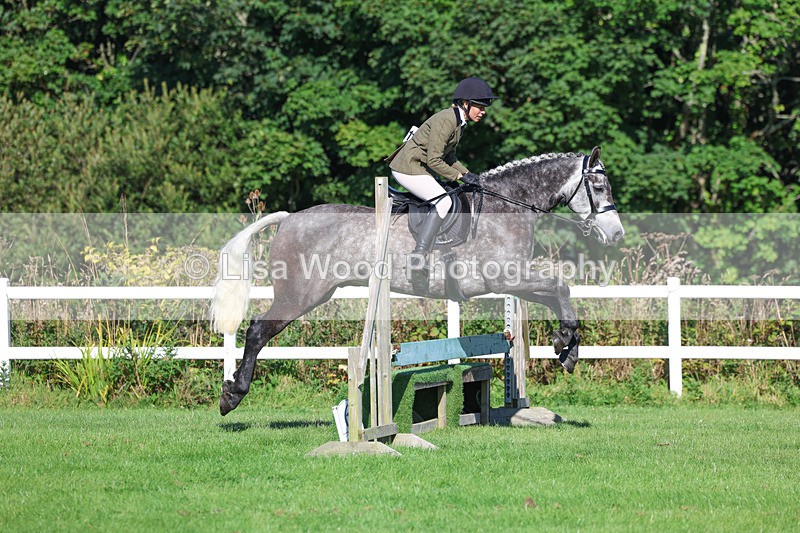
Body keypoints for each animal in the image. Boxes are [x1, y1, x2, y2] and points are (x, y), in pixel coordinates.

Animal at [211, 147, 624, 415]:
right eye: (598, 188)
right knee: (258, 331)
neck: (507, 206)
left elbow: (554, 293)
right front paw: (565, 343)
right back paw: (232, 396)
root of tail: (289, 218)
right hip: (300, 294)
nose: (617, 235)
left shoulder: (512, 281)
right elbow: (559, 286)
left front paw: (567, 347)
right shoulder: (505, 277)